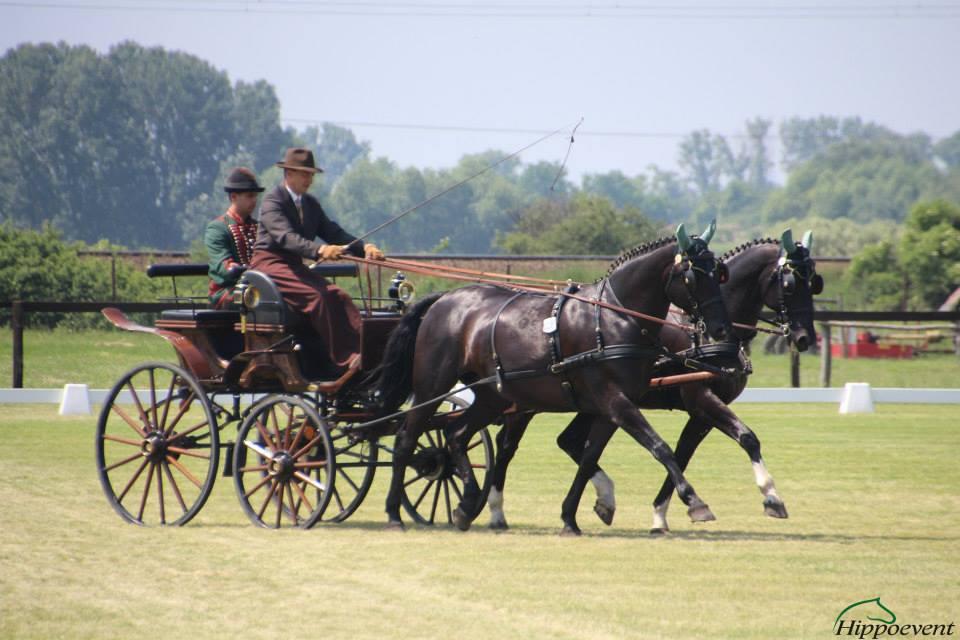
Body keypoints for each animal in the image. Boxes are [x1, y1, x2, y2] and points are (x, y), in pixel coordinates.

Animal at [372, 222, 732, 532]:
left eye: (719, 272)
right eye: (692, 276)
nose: (720, 329)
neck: (614, 319)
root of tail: (443, 299)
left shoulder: (612, 407)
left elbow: (588, 459)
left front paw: (571, 517)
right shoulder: (615, 400)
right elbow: (660, 447)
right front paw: (695, 501)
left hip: (493, 396)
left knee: (457, 435)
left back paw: (466, 505)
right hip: (432, 385)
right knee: (406, 439)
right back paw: (394, 513)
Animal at [488, 228, 824, 532]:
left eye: (814, 283)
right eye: (790, 284)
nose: (805, 337)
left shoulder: (699, 412)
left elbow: (688, 453)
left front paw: (662, 514)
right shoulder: (700, 399)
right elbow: (743, 438)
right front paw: (768, 496)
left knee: (569, 442)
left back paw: (602, 500)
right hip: (527, 404)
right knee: (506, 447)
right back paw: (496, 510)